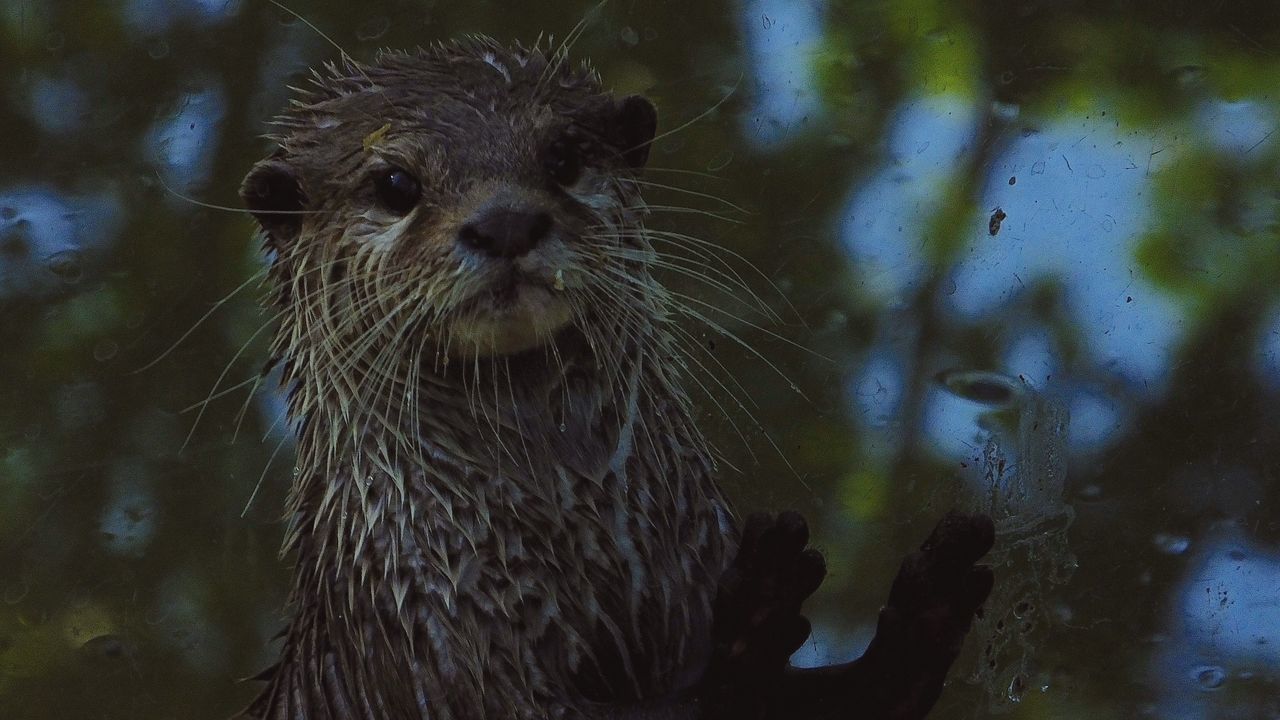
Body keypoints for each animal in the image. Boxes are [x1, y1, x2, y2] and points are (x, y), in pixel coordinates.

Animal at [240, 39, 993, 717]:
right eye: (396, 185)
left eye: (563, 157)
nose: (506, 221)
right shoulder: (441, 654)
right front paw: (755, 624)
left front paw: (933, 599)